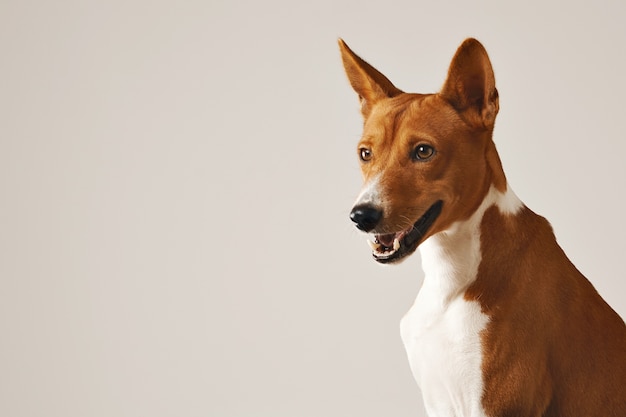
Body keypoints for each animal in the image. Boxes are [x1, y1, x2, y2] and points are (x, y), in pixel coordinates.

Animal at [338, 37, 624, 414]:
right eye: (365, 153)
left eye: (423, 151)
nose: (361, 215)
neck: (451, 280)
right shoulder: (437, 401)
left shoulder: (498, 404)